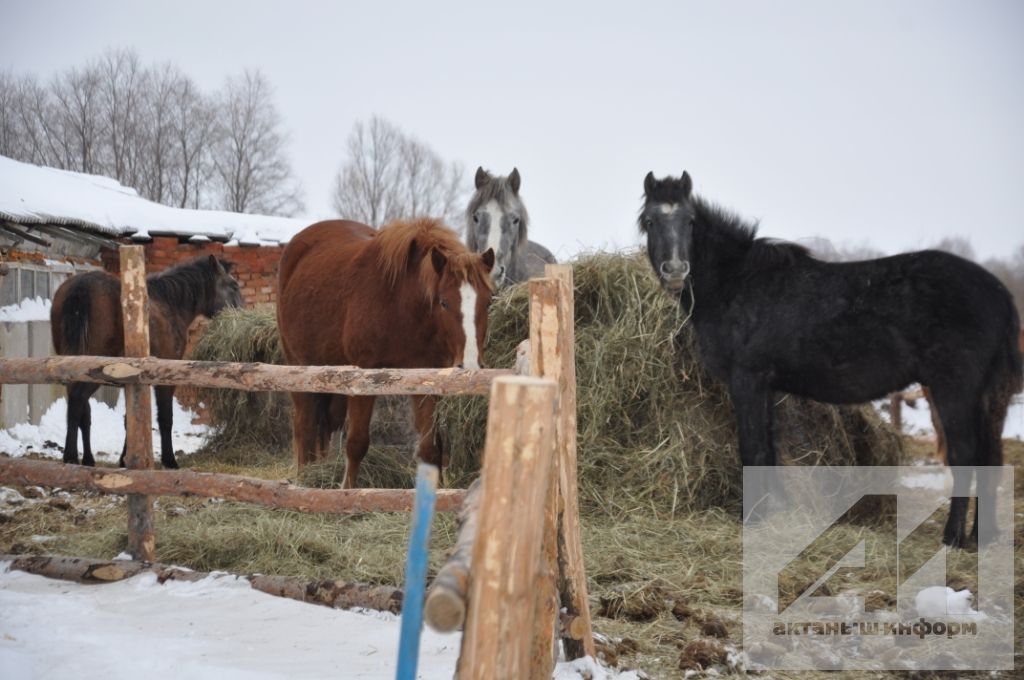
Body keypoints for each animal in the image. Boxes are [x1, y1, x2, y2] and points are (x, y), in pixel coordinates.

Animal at [51, 255, 243, 466]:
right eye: (233, 286)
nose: (242, 312)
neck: (170, 304)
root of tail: (81, 285)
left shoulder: (130, 382)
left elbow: (131, 419)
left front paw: (125, 459)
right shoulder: (164, 379)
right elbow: (165, 418)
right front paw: (170, 460)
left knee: (82, 411)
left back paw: (87, 458)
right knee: (77, 401)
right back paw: (70, 457)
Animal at [276, 215, 491, 485]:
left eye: (489, 301)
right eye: (444, 302)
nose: (470, 365)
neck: (399, 302)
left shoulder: (426, 377)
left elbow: (431, 448)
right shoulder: (363, 377)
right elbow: (356, 443)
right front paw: (348, 490)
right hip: (300, 368)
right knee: (304, 426)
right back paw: (305, 478)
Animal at [643, 171, 1019, 548]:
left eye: (690, 221)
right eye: (649, 221)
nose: (675, 271)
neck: (736, 283)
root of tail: (998, 292)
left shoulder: (746, 380)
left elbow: (753, 450)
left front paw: (751, 517)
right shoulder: (765, 386)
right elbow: (768, 451)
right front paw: (772, 512)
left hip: (953, 388)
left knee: (965, 455)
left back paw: (953, 536)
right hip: (983, 395)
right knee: (990, 456)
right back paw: (980, 536)